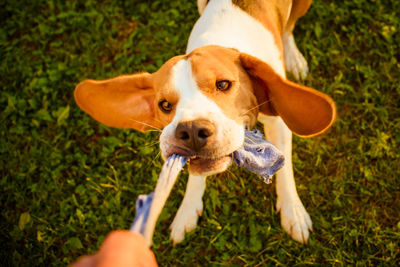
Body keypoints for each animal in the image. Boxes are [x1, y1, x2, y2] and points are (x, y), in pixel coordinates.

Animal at [74, 0, 334, 246]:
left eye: (223, 84)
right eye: (165, 105)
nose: (190, 130)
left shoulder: (278, 123)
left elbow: (285, 169)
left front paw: (293, 212)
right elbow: (195, 177)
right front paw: (187, 210)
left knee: (288, 28)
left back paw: (293, 57)